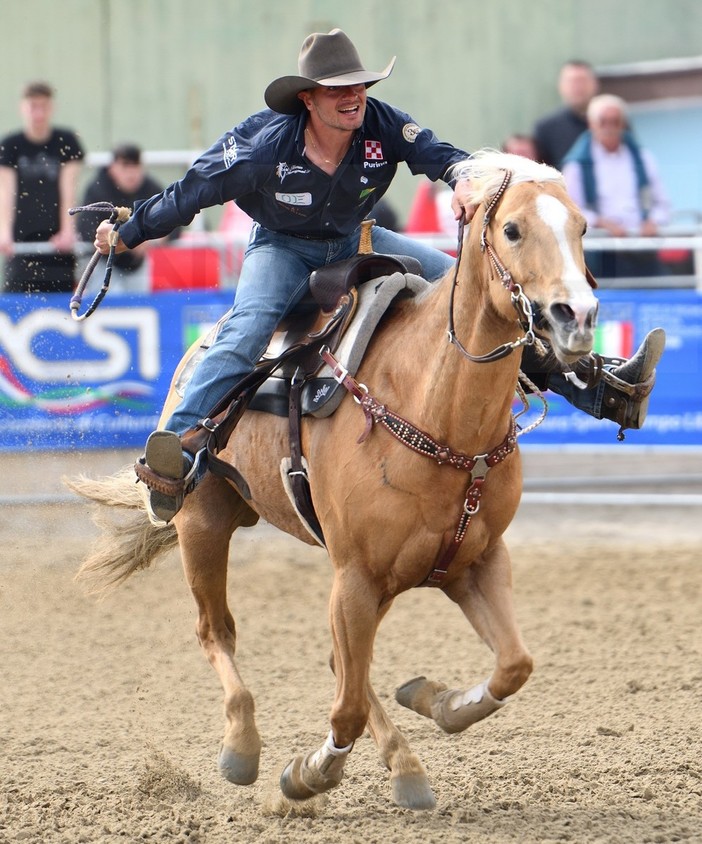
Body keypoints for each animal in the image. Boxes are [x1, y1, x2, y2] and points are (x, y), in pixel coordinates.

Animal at [70, 150, 600, 812]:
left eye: (581, 226)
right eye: (512, 229)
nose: (577, 316)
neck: (436, 413)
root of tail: (198, 352)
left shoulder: (476, 561)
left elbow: (513, 665)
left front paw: (436, 700)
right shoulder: (355, 575)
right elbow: (343, 708)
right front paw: (309, 773)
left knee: (342, 663)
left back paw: (405, 764)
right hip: (205, 523)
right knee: (218, 631)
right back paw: (243, 747)